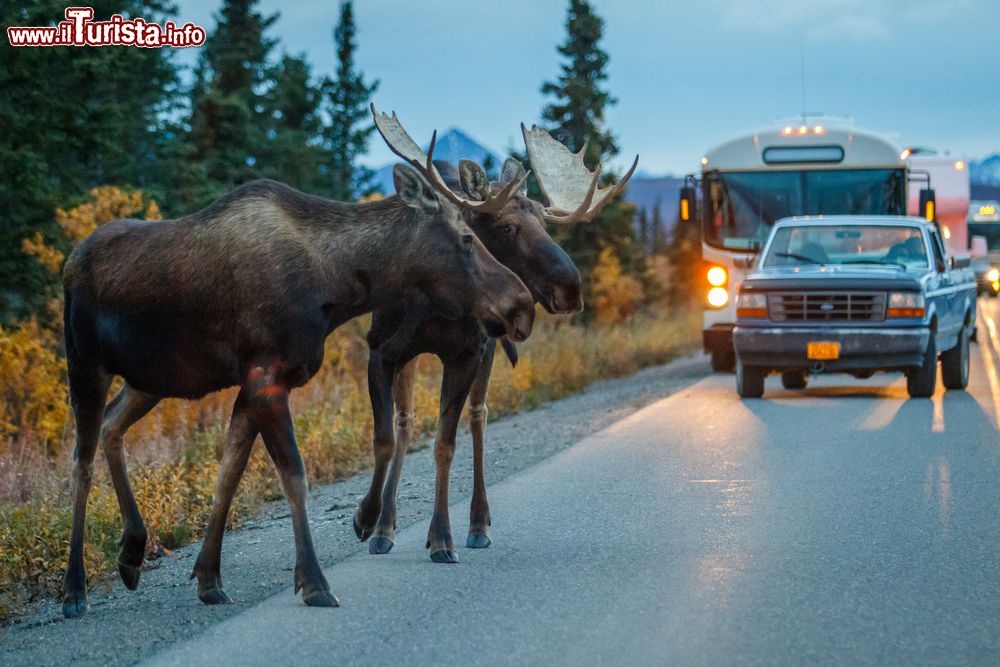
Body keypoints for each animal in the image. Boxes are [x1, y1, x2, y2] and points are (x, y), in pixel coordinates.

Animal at [58, 159, 536, 620]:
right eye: (466, 238)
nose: (522, 305)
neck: (334, 284)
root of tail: (69, 262)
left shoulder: (254, 382)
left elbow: (228, 473)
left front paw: (209, 579)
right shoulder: (267, 377)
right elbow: (294, 476)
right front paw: (314, 582)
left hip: (149, 380)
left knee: (111, 426)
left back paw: (132, 552)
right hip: (85, 364)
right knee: (81, 462)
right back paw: (75, 590)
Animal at [352, 111, 636, 564]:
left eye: (545, 224)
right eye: (505, 226)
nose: (571, 288)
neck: (436, 305)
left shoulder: (467, 353)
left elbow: (446, 444)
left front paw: (442, 536)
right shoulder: (383, 350)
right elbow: (391, 432)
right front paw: (370, 521)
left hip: (487, 351)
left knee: (478, 416)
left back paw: (478, 522)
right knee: (408, 421)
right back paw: (386, 526)